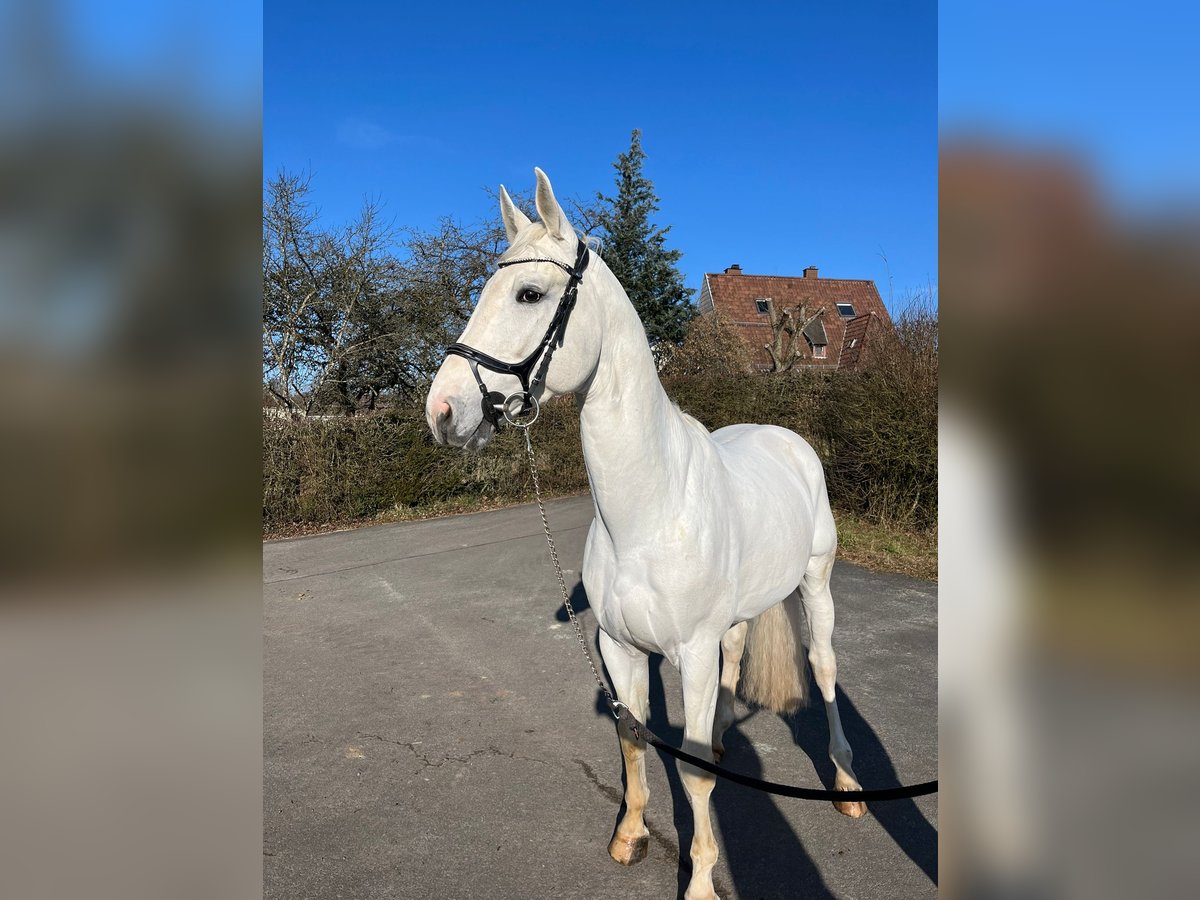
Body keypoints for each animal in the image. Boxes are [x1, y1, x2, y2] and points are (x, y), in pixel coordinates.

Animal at [427, 169, 868, 900]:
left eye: (529, 293)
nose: (442, 411)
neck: (648, 514)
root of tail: (786, 437)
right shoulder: (622, 648)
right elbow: (635, 739)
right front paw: (630, 836)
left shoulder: (688, 651)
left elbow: (689, 772)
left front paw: (701, 880)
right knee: (736, 656)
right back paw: (723, 738)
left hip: (817, 583)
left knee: (826, 667)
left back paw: (848, 784)